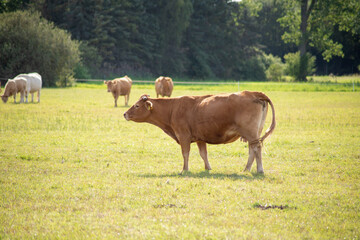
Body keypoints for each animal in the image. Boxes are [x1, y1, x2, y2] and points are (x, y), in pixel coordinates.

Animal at [124, 91, 276, 173]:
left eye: (136, 106)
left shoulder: (184, 136)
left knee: (256, 148)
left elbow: (185, 153)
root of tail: (253, 93)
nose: (124, 114)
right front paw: (208, 168)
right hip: (253, 133)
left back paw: (259, 169)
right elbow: (204, 154)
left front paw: (184, 169)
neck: (173, 108)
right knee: (252, 149)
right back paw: (246, 169)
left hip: (251, 133)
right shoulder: (200, 138)